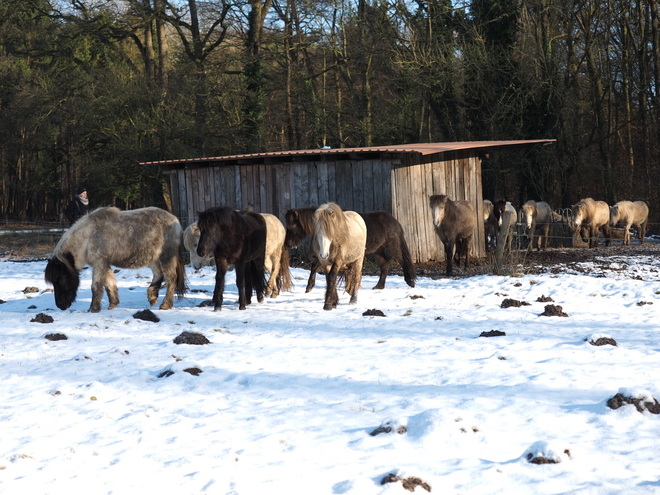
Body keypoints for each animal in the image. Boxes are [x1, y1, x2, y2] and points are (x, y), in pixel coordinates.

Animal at [44, 207, 187, 312]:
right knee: (158, 274)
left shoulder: (99, 263)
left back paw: (165, 304)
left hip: (167, 257)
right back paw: (152, 297)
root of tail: (175, 221)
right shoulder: (104, 263)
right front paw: (113, 304)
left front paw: (93, 308)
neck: (88, 237)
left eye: (59, 279)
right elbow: (109, 284)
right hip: (153, 258)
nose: (60, 305)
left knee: (171, 279)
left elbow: (96, 286)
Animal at [284, 206, 418, 290]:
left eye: (292, 226)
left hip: (392, 246)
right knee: (385, 265)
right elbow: (315, 266)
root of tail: (394, 221)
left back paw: (410, 282)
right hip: (378, 250)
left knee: (403, 261)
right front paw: (310, 287)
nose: (287, 244)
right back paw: (379, 286)